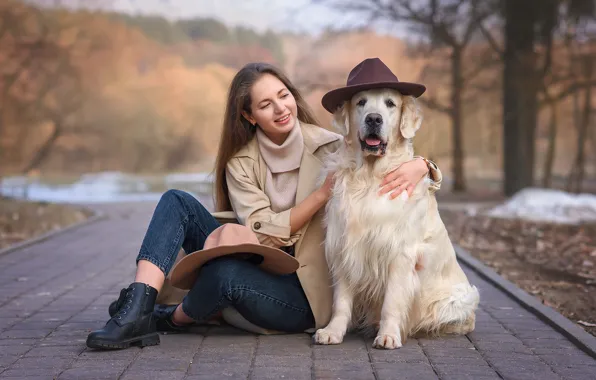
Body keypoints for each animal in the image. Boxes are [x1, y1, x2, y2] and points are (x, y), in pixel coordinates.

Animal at [314, 58, 478, 348]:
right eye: (361, 102)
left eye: (390, 103)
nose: (373, 118)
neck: (369, 177)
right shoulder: (344, 246)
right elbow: (341, 301)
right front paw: (333, 331)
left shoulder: (400, 252)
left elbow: (392, 300)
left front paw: (389, 335)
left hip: (461, 298)